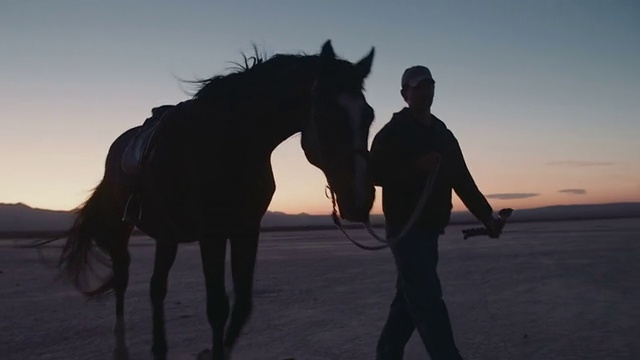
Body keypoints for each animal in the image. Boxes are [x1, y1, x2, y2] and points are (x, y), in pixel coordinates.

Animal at [53, 40, 380, 360]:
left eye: (369, 116)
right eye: (325, 116)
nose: (360, 198)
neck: (229, 142)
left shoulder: (246, 230)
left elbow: (243, 304)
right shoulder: (212, 234)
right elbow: (217, 307)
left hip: (167, 235)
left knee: (157, 287)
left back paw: (159, 349)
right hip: (121, 229)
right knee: (122, 277)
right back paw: (121, 348)